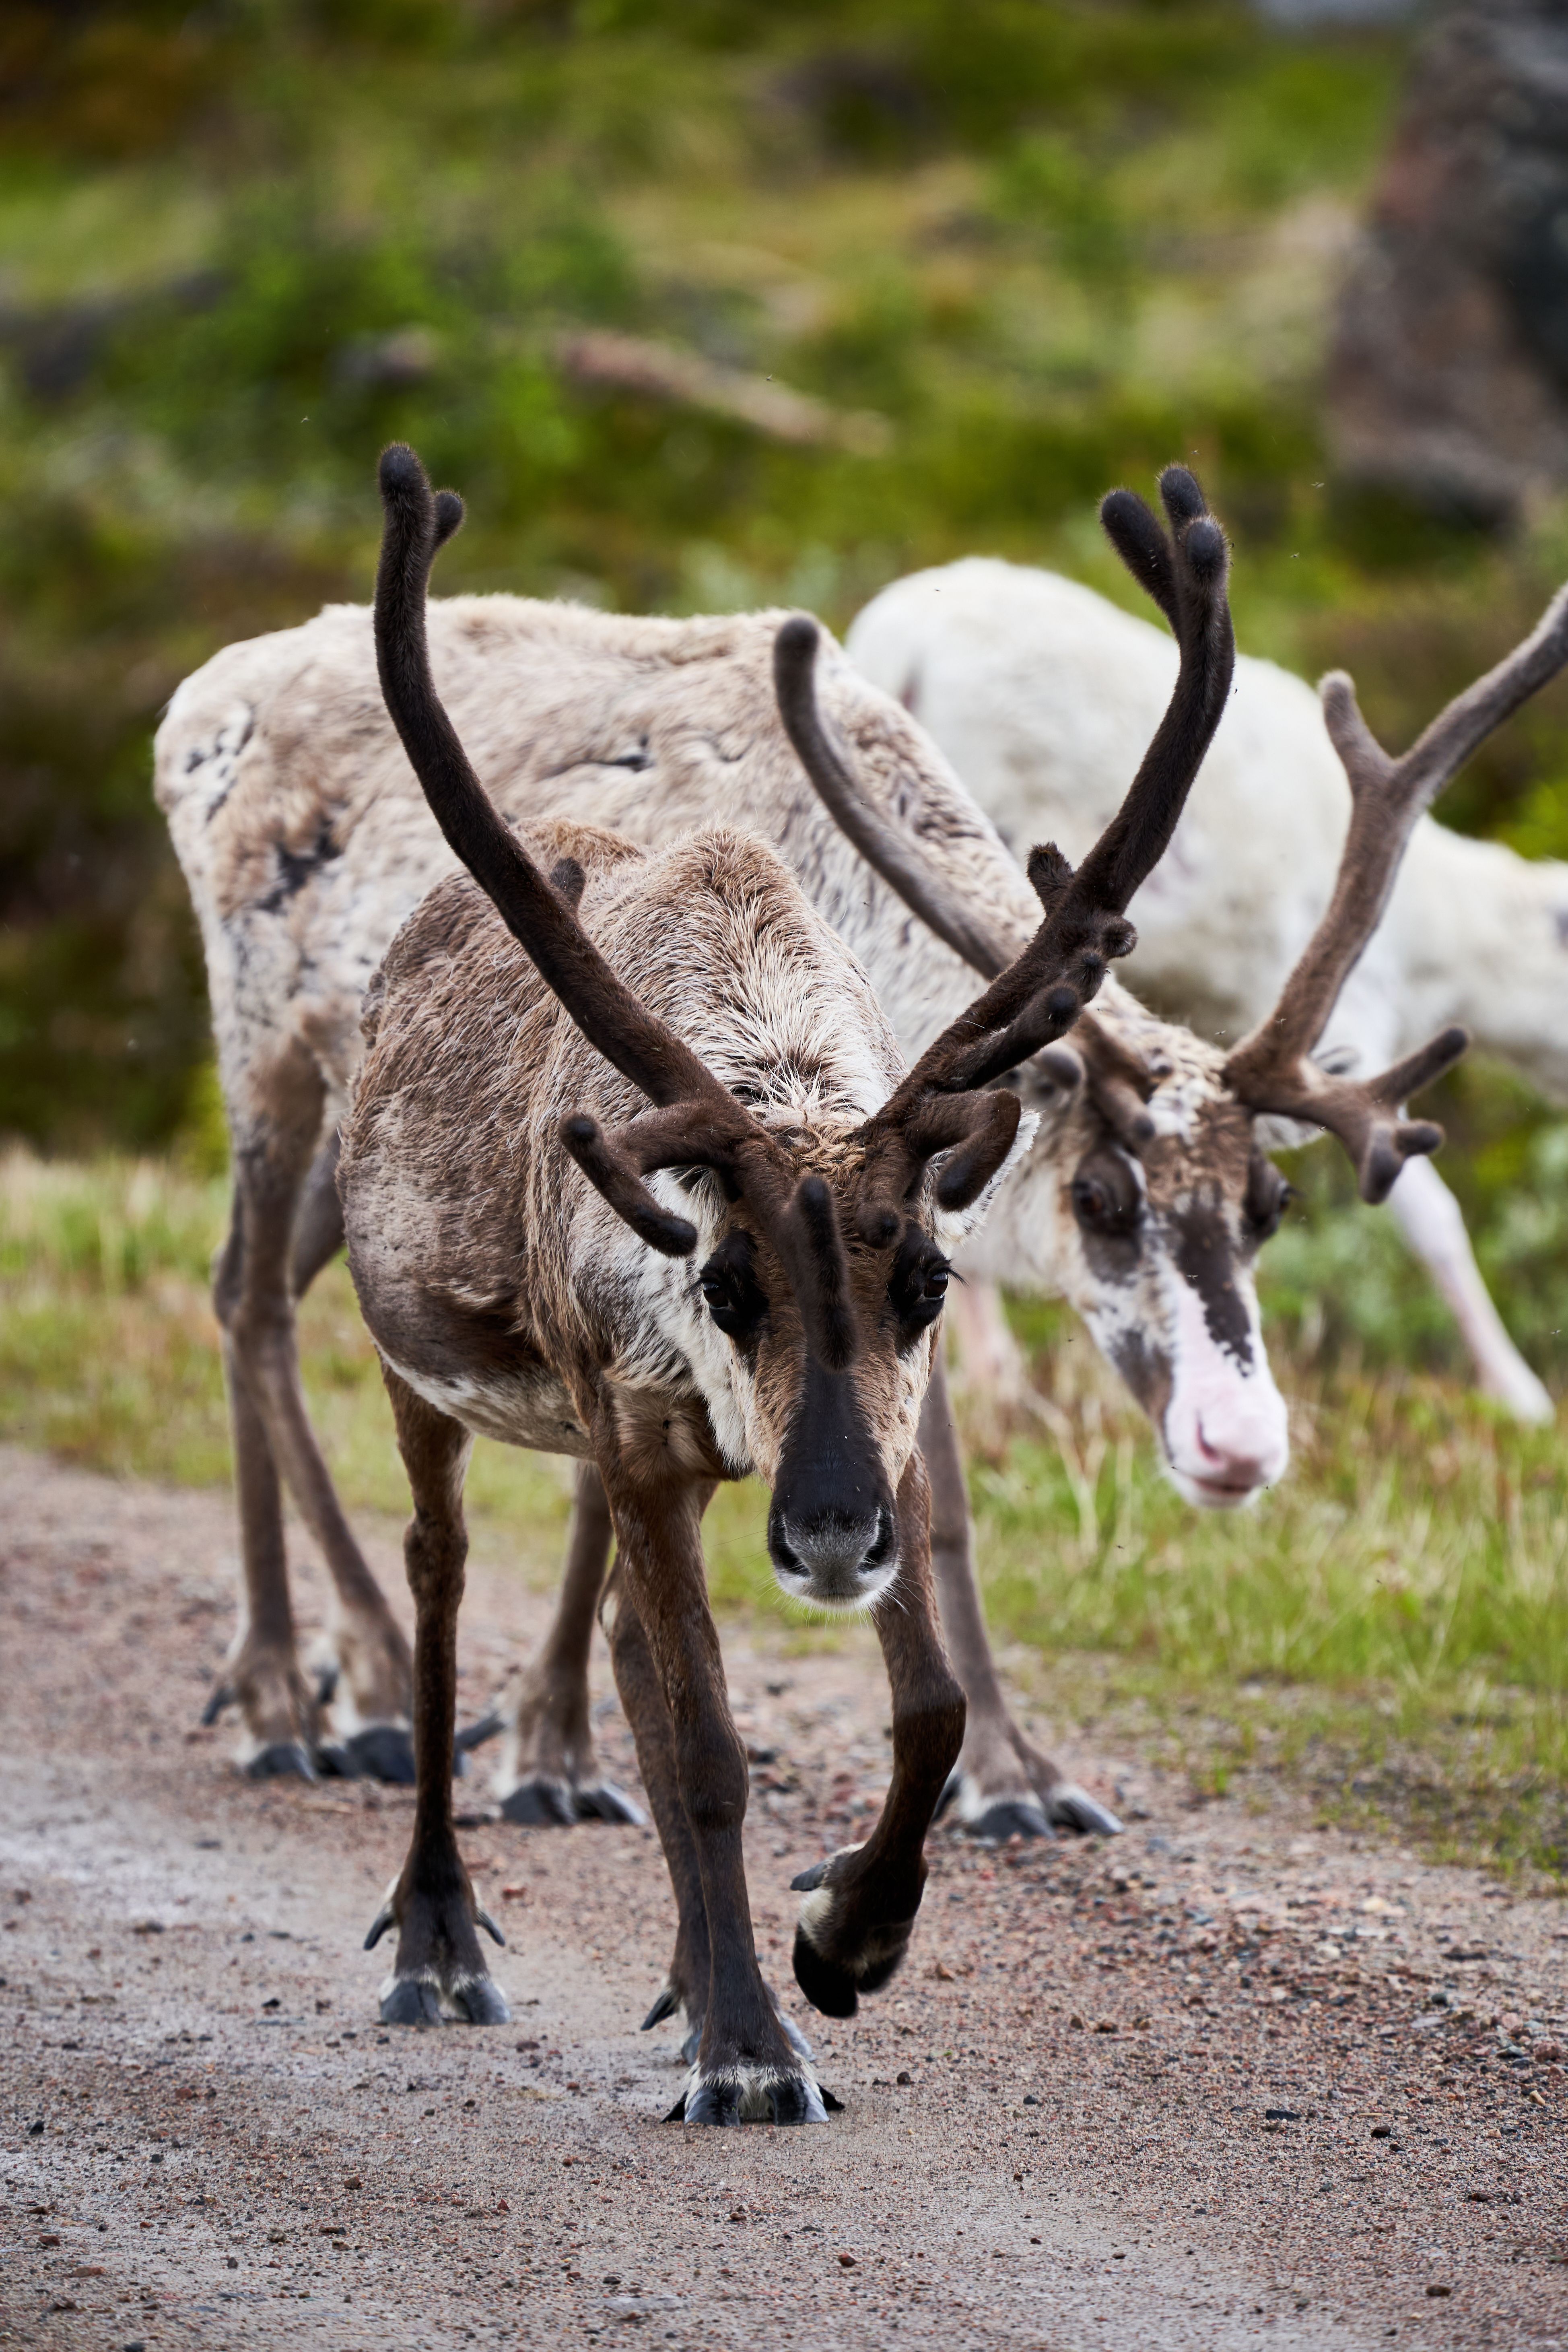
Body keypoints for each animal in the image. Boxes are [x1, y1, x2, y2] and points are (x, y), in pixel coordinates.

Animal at [337, 444, 1232, 2117]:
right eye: (726, 1281)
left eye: (934, 1280)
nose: (822, 1533)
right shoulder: (634, 1430)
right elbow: (702, 1749)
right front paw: (754, 2050)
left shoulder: (886, 1440)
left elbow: (929, 1706)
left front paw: (841, 1943)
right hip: (427, 1375)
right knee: (441, 1576)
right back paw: (442, 1943)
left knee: (627, 1646)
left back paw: (695, 1974)